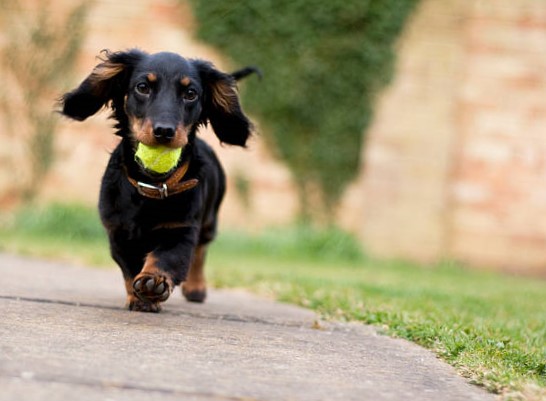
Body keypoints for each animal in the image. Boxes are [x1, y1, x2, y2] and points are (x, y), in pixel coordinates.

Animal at [60, 49, 256, 312]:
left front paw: (153, 281)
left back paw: (196, 288)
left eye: (190, 93)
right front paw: (139, 297)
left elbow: (167, 258)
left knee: (200, 252)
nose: (164, 131)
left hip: (209, 221)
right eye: (143, 87)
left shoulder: (181, 229)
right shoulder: (119, 232)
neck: (152, 184)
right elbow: (130, 268)